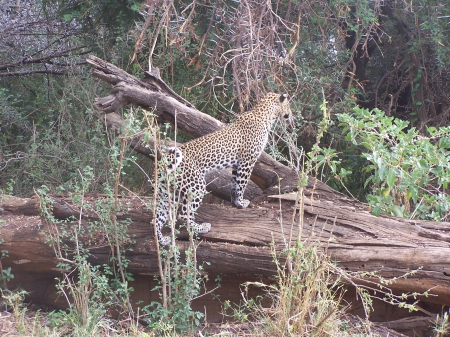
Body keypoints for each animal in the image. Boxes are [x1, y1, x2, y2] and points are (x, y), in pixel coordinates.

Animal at [156, 92, 294, 244]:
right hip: (196, 185)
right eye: (288, 105)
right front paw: (241, 202)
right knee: (183, 213)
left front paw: (235, 202)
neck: (265, 115)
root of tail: (165, 161)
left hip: (167, 191)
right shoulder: (247, 161)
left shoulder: (237, 164)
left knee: (156, 218)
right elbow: (242, 184)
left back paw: (162, 240)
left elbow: (235, 183)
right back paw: (201, 227)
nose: (290, 114)